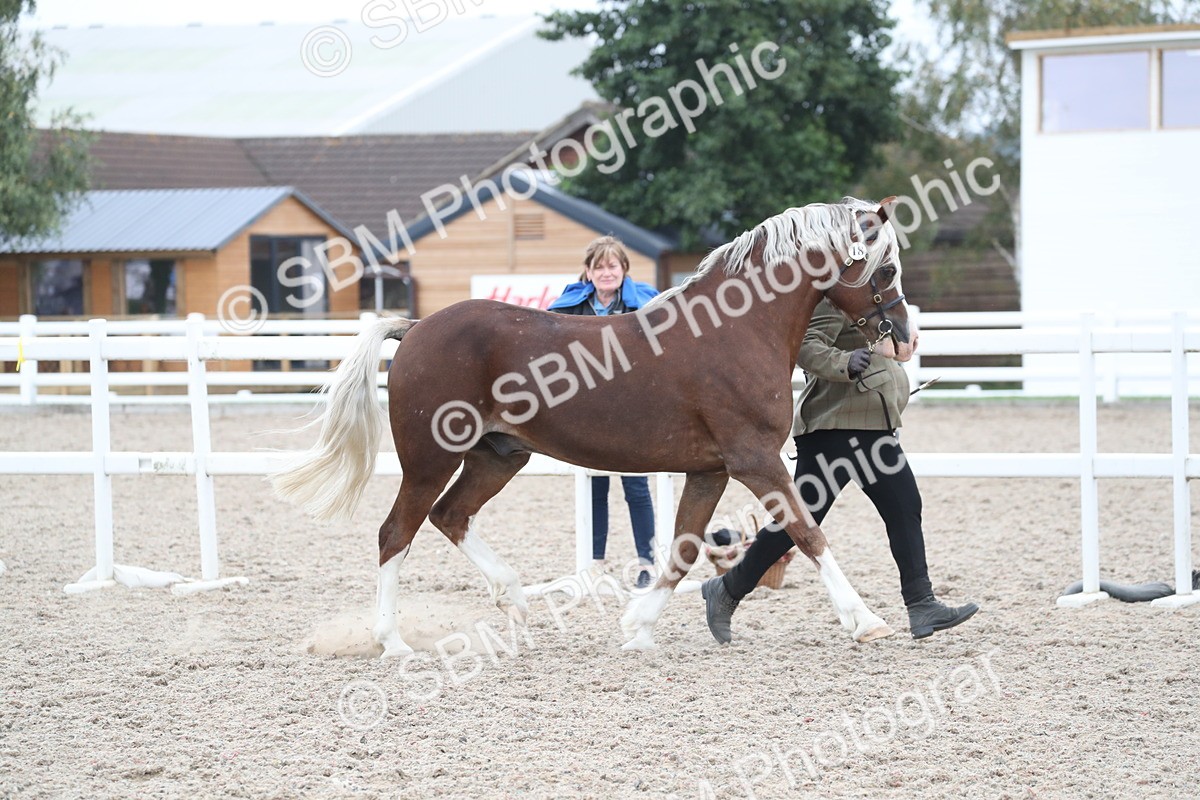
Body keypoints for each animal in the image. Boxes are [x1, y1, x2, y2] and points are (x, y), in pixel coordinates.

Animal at [273, 196, 913, 655]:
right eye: (884, 269)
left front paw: (638, 628)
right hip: (430, 460)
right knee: (395, 534)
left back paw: (514, 600)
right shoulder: (754, 459)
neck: (735, 329)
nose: (903, 337)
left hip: (498, 456)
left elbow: (681, 548)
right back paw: (394, 643)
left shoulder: (710, 469)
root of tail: (415, 329)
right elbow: (807, 532)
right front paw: (866, 621)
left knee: (449, 517)